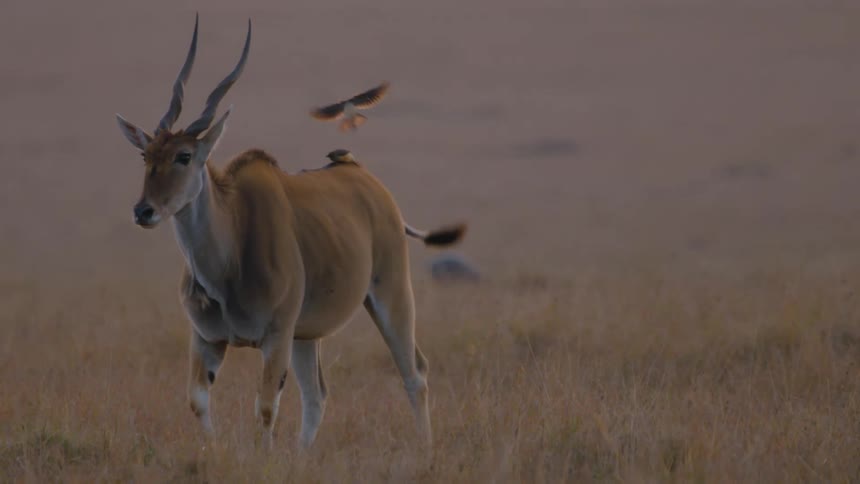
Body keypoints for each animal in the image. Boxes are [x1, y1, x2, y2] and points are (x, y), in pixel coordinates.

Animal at [114, 15, 465, 449]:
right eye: (145, 155)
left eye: (184, 155)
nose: (143, 211)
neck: (229, 254)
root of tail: (362, 174)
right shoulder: (207, 338)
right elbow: (198, 400)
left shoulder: (276, 337)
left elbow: (265, 408)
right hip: (306, 335)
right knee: (317, 395)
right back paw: (303, 455)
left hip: (390, 295)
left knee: (415, 373)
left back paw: (425, 448)